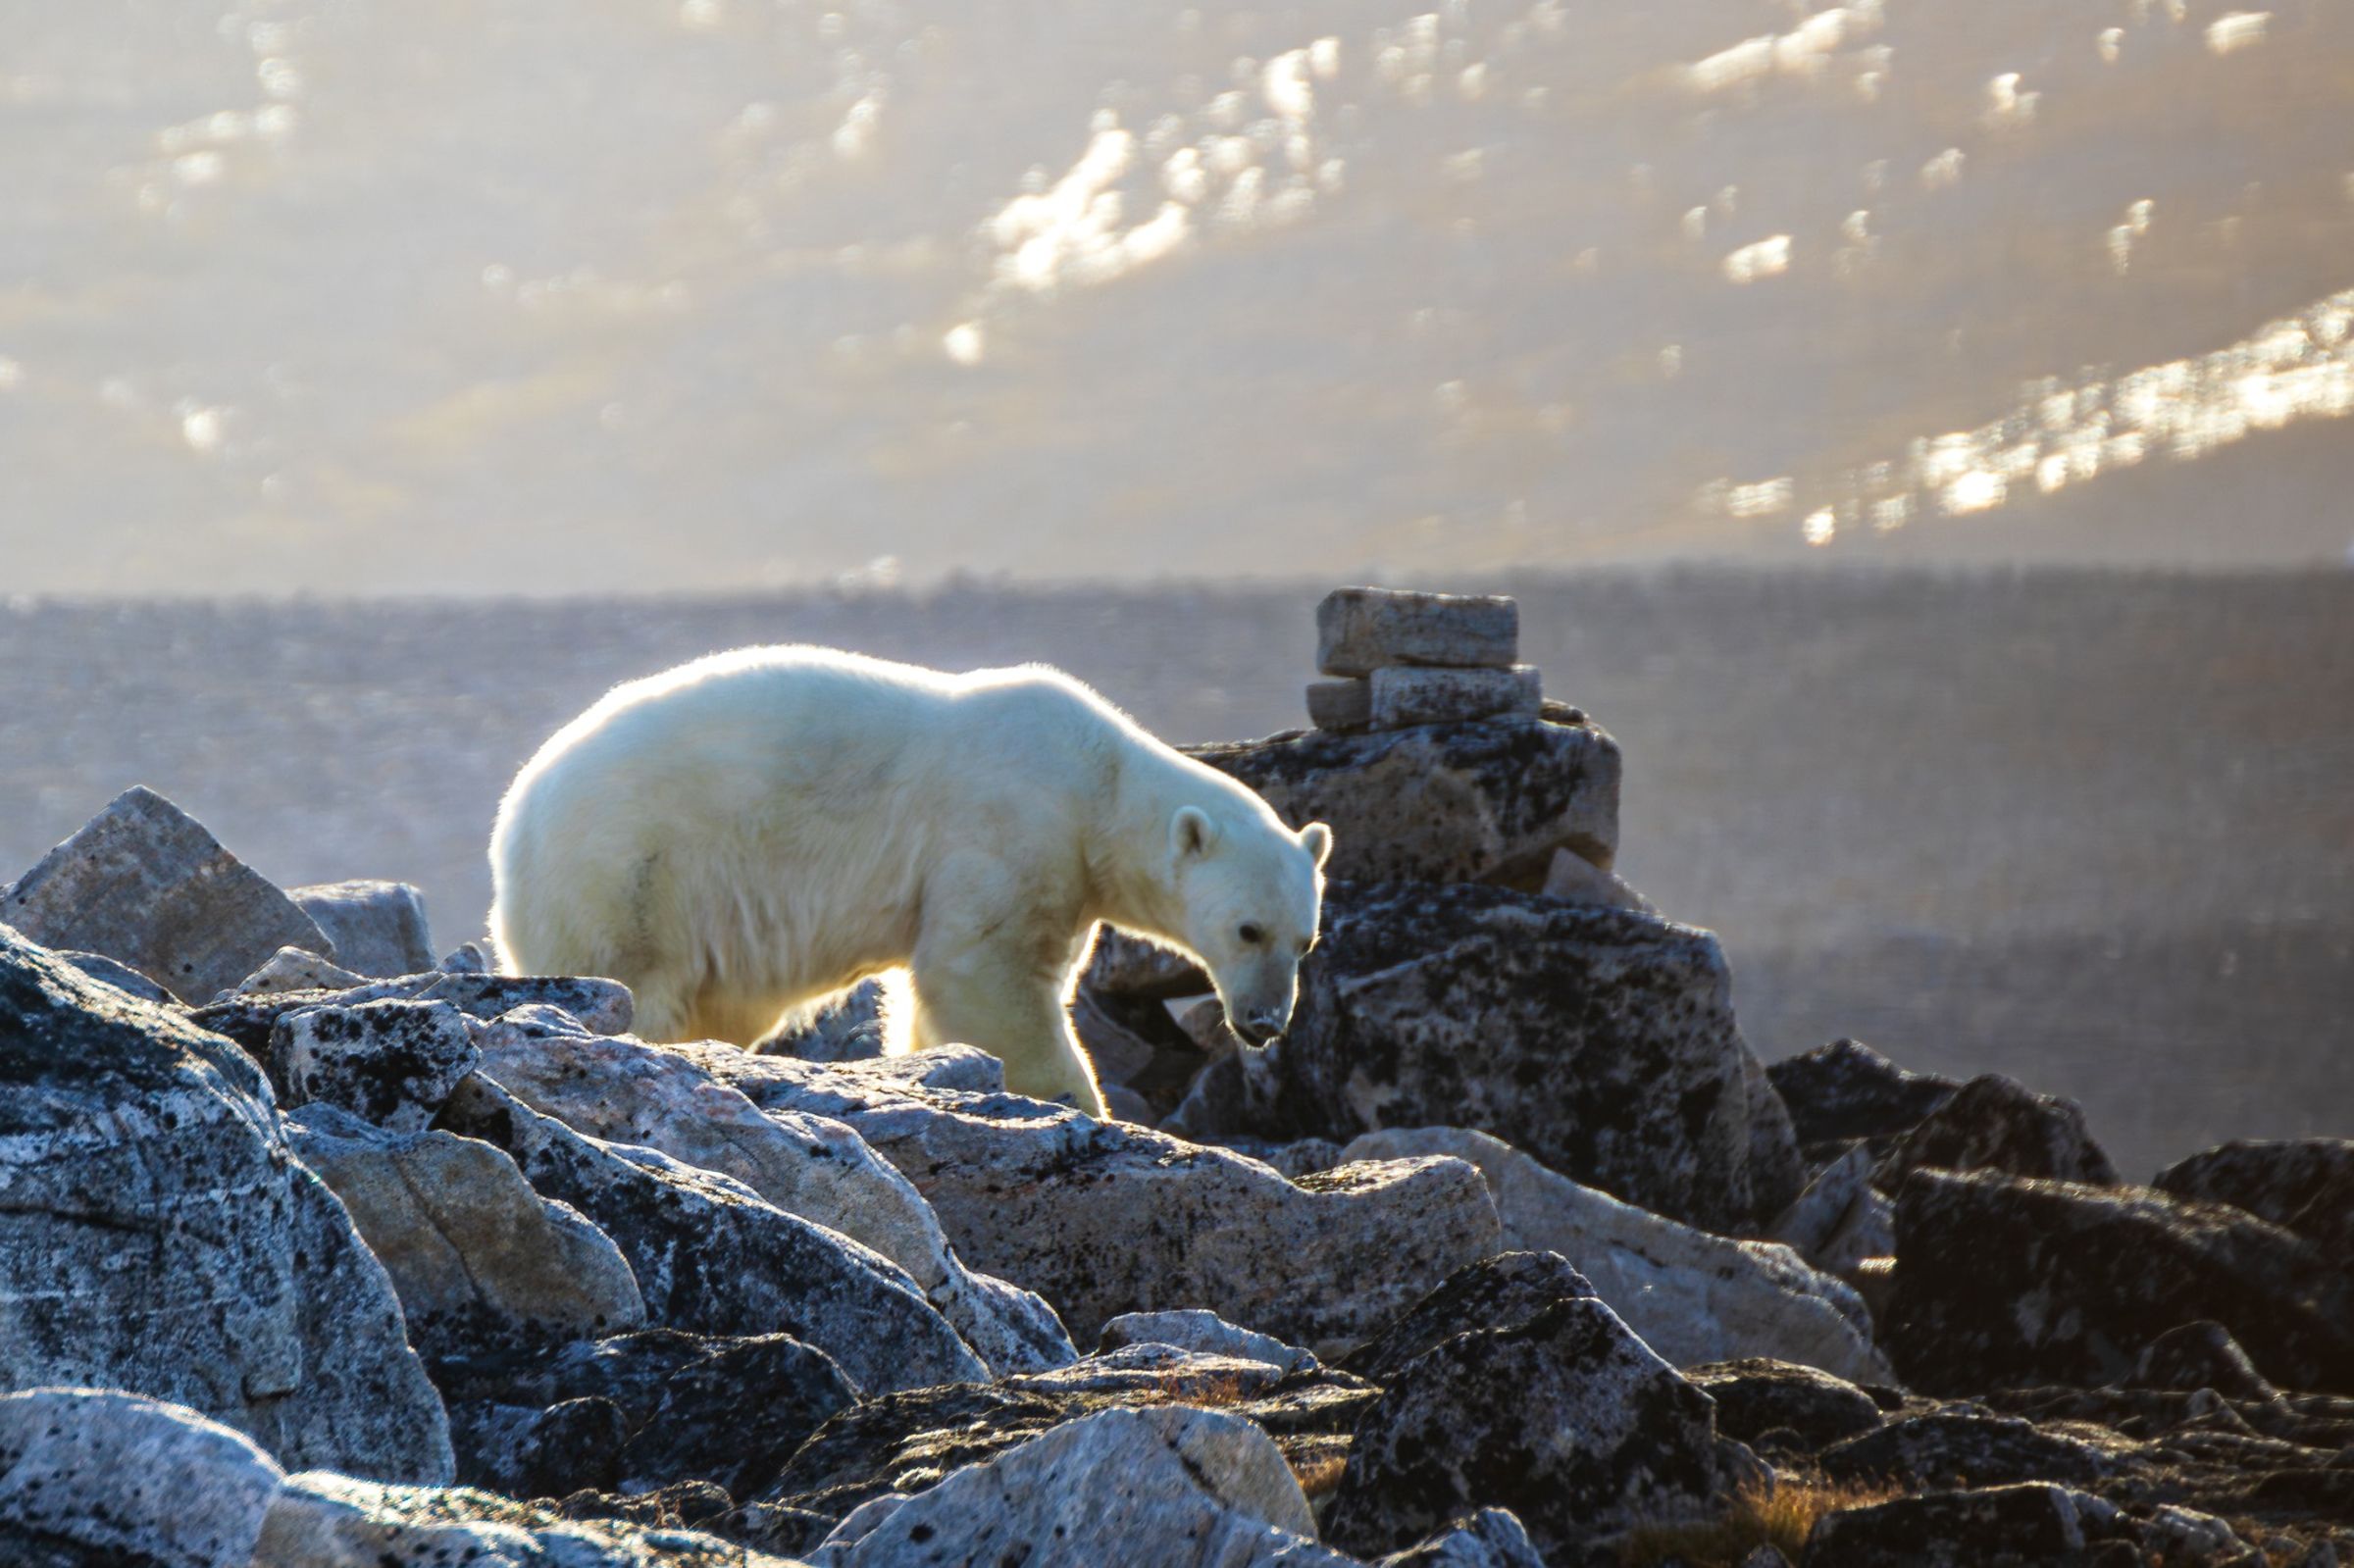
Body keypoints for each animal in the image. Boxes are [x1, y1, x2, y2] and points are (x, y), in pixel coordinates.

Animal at [488, 645, 1332, 1118]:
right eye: (1247, 928)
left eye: (1305, 940)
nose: (1264, 1022)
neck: (1100, 779)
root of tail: (514, 818)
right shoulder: (1011, 825)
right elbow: (983, 973)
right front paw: (1077, 1102)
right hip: (631, 876)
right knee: (637, 980)